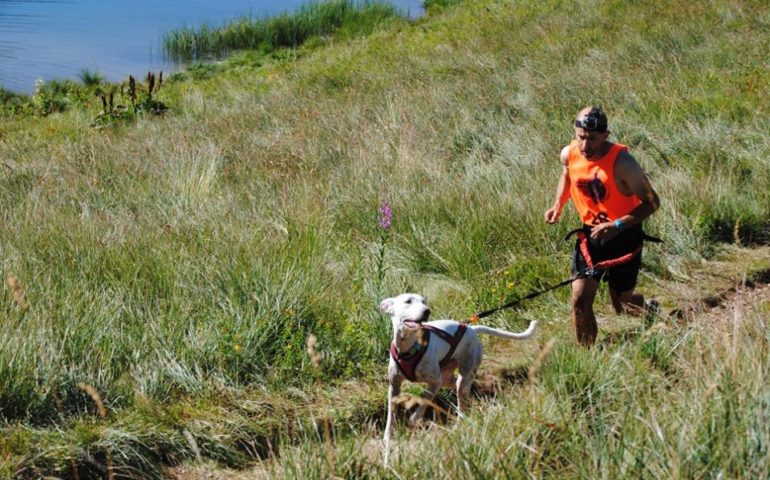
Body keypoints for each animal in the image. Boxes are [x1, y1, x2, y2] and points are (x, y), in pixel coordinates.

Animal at [380, 292, 536, 464]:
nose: (427, 311)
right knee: (459, 386)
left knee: (461, 404)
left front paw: (414, 419)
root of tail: (471, 329)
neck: (408, 348)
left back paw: (458, 426)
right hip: (448, 377)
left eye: (424, 301)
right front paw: (387, 438)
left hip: (460, 373)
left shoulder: (434, 382)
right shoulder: (394, 386)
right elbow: (390, 416)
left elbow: (423, 401)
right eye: (408, 301)